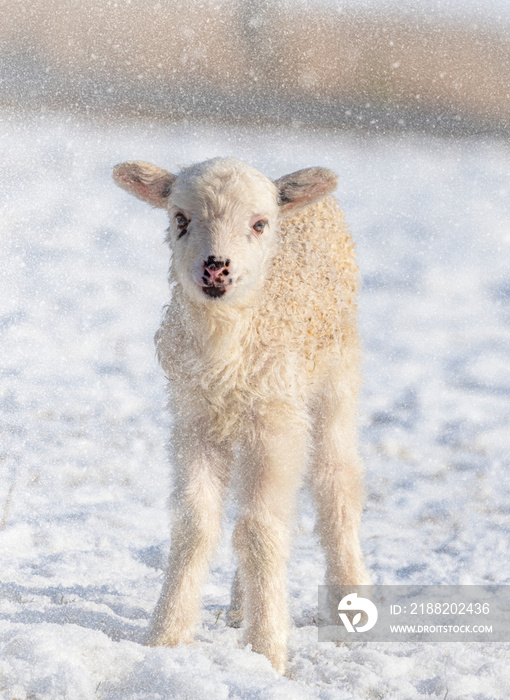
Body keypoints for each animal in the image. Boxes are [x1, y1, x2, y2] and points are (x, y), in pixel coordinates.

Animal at [113, 157, 368, 672]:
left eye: (259, 224)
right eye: (179, 219)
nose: (216, 268)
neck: (226, 347)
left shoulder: (275, 421)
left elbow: (260, 531)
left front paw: (267, 651)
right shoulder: (193, 419)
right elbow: (195, 524)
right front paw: (165, 638)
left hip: (335, 378)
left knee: (336, 482)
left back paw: (349, 604)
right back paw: (237, 607)